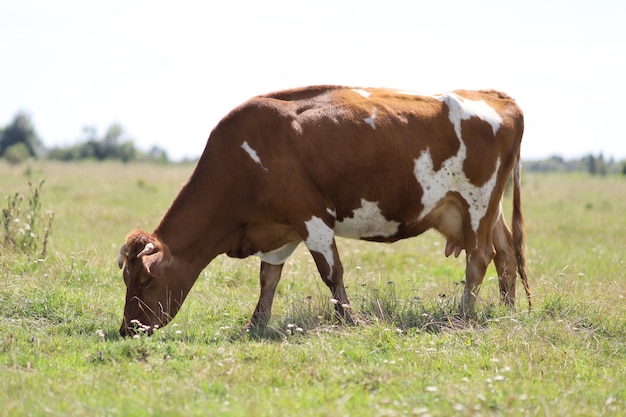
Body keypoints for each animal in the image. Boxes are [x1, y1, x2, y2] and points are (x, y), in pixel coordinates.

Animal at [116, 84, 528, 334]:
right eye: (126, 280)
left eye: (145, 281)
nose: (127, 330)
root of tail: (496, 96)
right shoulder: (277, 229)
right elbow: (268, 278)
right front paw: (256, 324)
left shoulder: (312, 218)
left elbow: (332, 273)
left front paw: (350, 320)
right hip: (483, 209)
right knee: (506, 254)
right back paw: (507, 312)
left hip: (477, 203)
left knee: (479, 258)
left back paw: (463, 315)